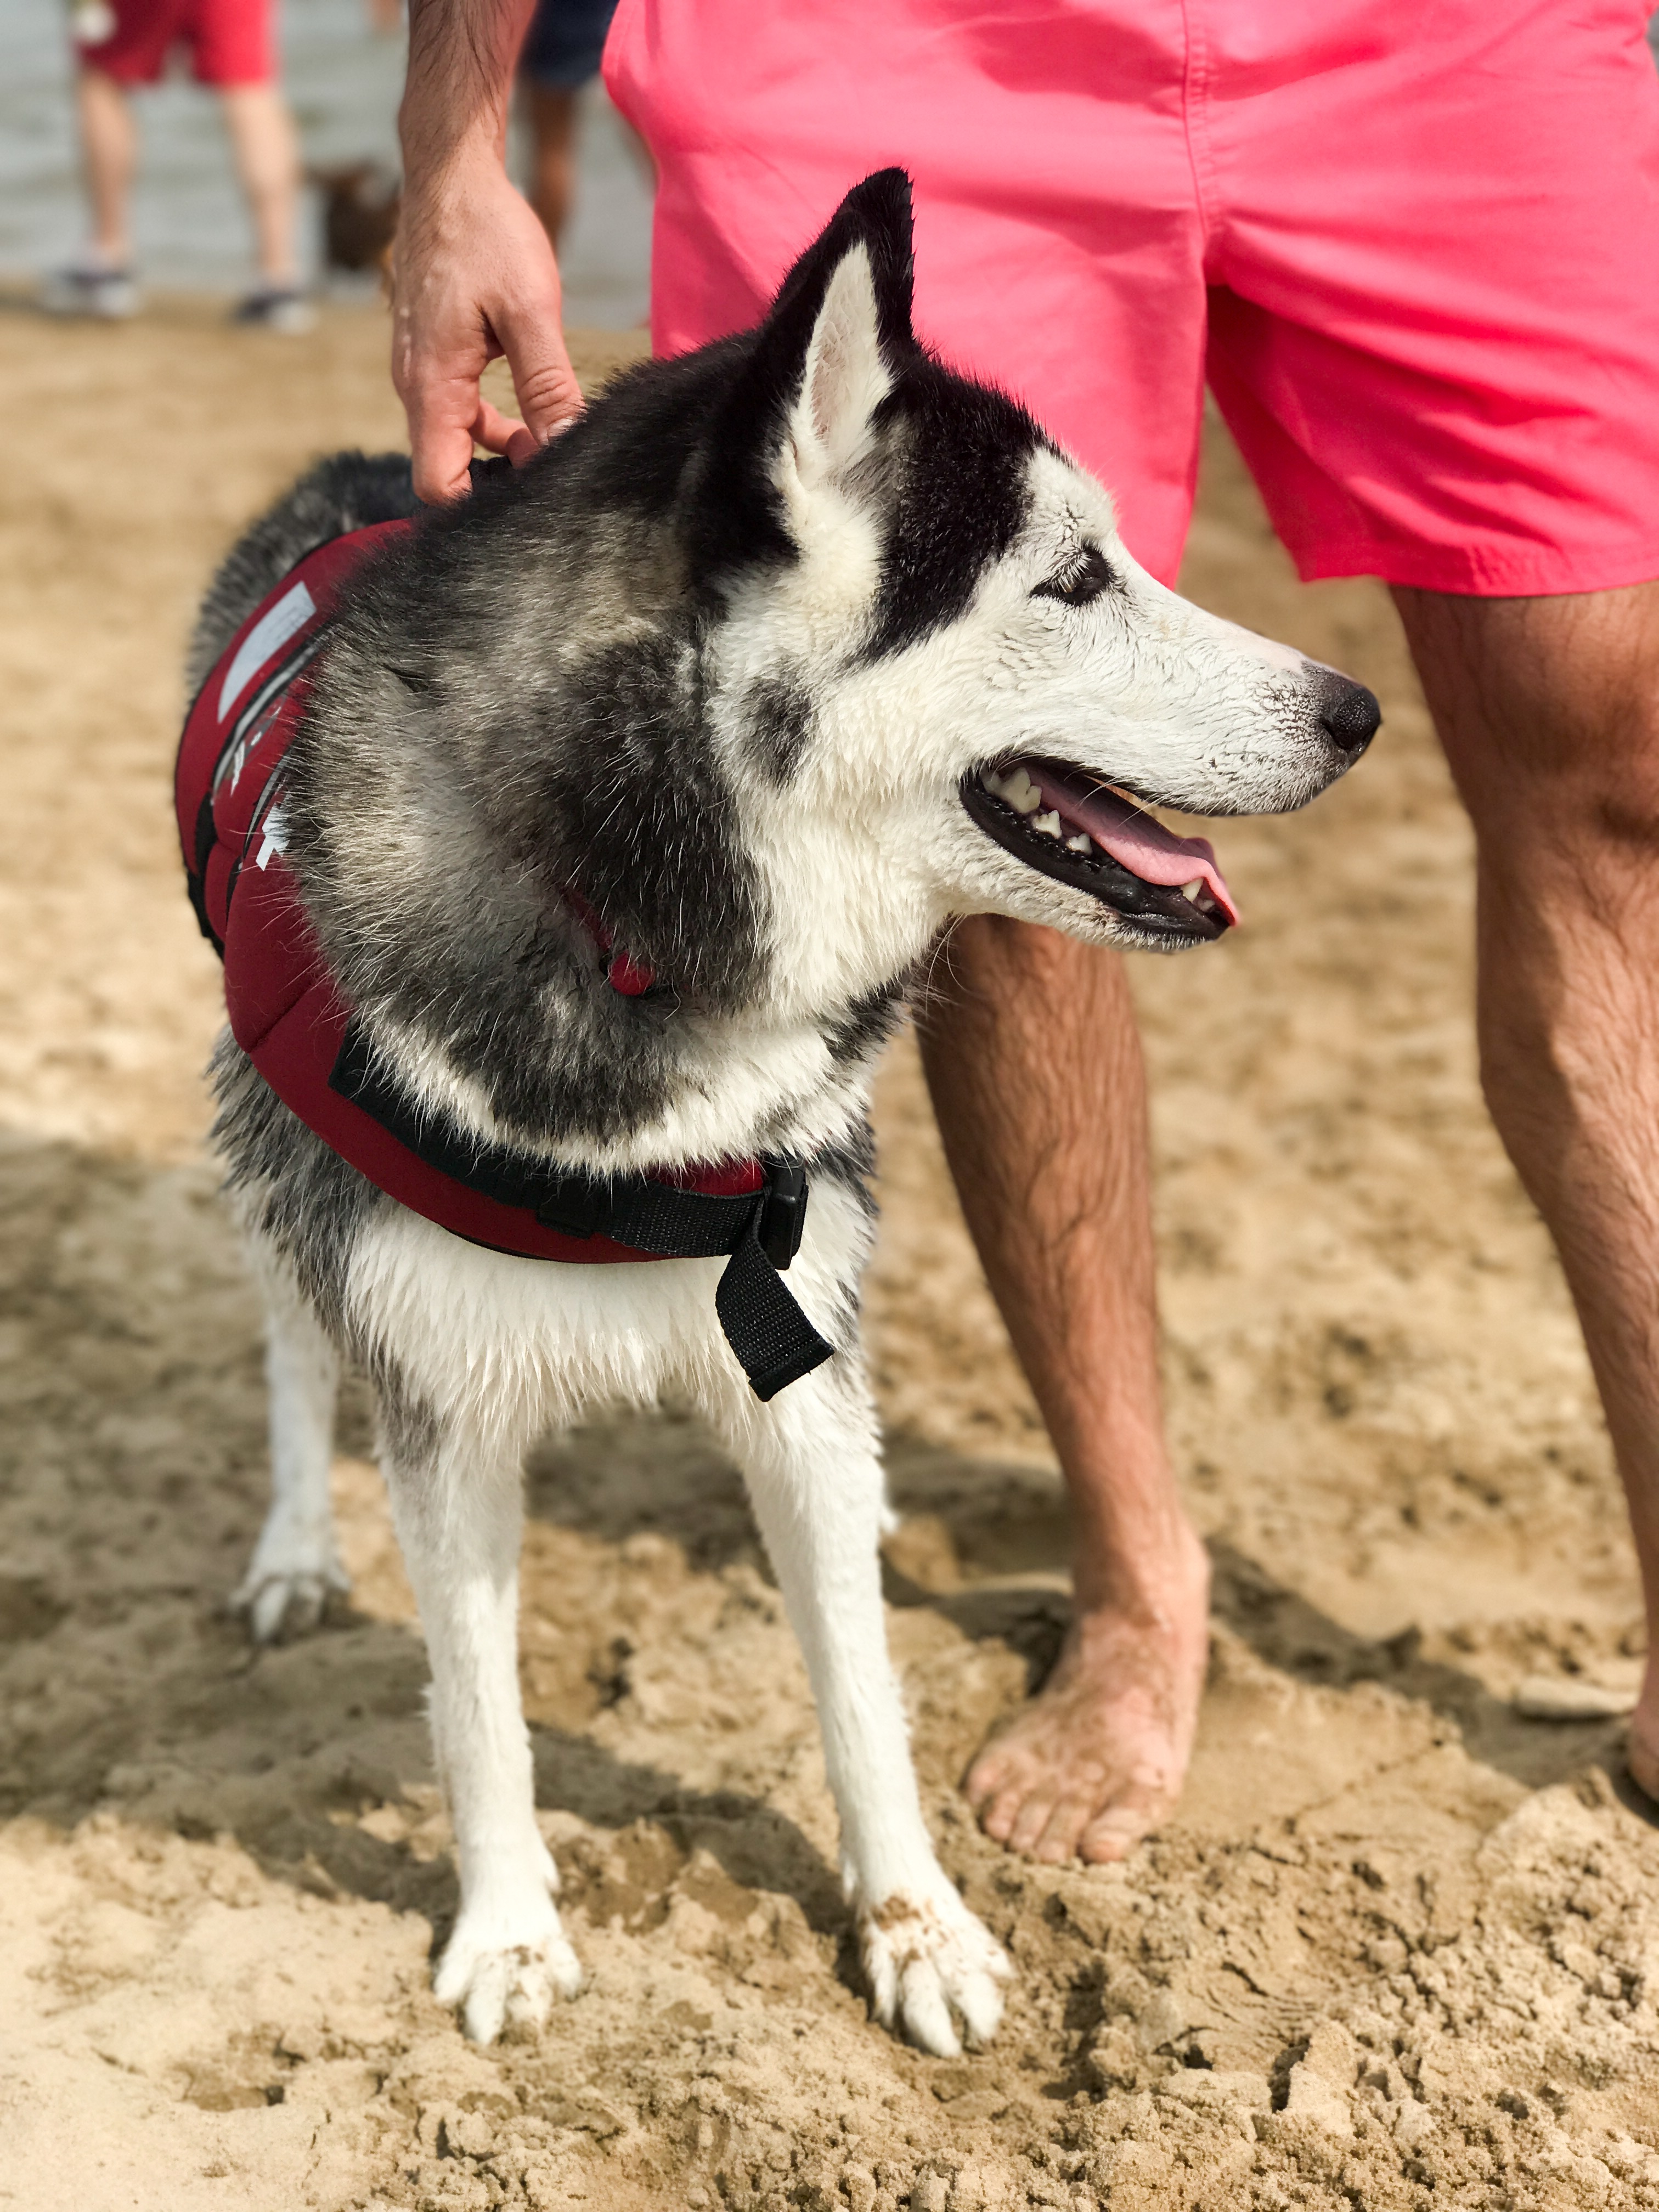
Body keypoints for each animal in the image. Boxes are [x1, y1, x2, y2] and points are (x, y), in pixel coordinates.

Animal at [194, 172, 1380, 2052]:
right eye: (1075, 577)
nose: (1359, 711)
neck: (632, 936)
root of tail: (357, 473)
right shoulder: (441, 1394)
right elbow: (476, 1699)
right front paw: (508, 1926)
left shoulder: (790, 1328)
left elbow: (860, 1681)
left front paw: (915, 1925)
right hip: (266, 1161)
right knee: (293, 1341)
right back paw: (299, 1543)